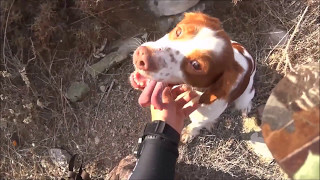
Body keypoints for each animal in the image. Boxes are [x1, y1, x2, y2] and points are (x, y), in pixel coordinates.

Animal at [129, 12, 256, 142]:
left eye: (196, 65)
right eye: (178, 31)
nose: (141, 56)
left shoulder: (205, 116)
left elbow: (195, 124)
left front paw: (188, 133)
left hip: (246, 95)